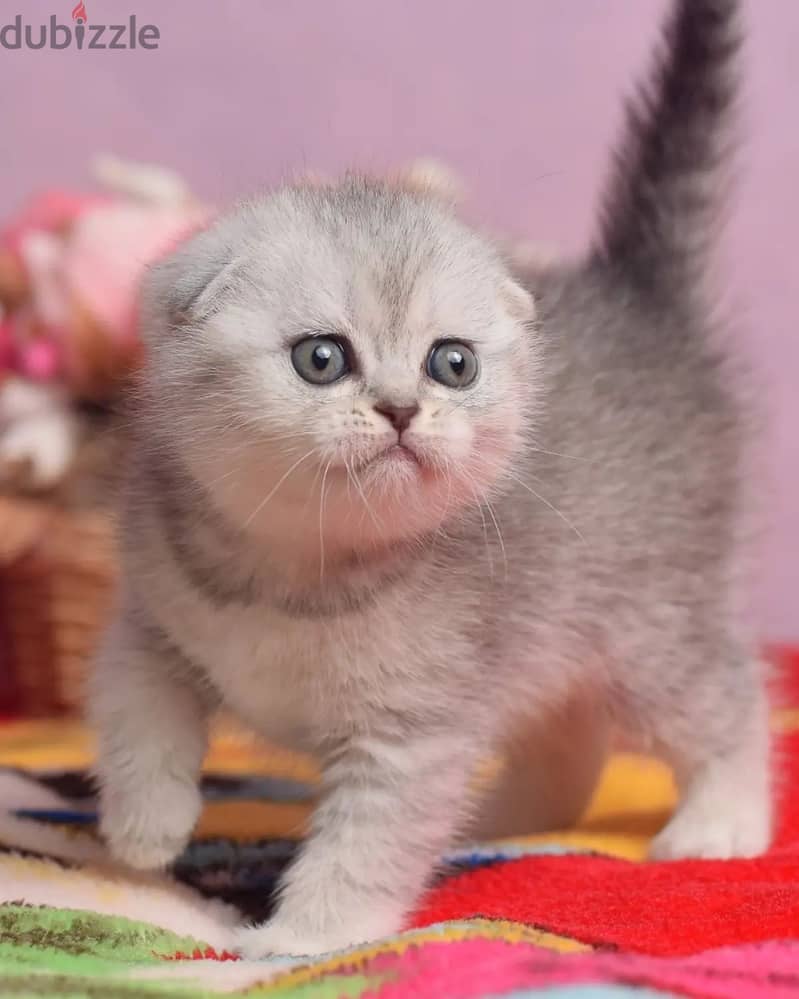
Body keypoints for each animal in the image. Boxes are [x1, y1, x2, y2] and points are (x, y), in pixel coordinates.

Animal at [90, 0, 772, 964]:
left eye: (451, 363)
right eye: (321, 358)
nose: (402, 409)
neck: (296, 574)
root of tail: (639, 298)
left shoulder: (411, 736)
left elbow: (362, 848)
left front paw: (299, 938)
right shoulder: (149, 614)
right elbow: (135, 707)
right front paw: (145, 824)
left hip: (648, 623)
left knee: (726, 699)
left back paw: (721, 821)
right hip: (552, 629)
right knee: (571, 739)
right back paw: (504, 818)